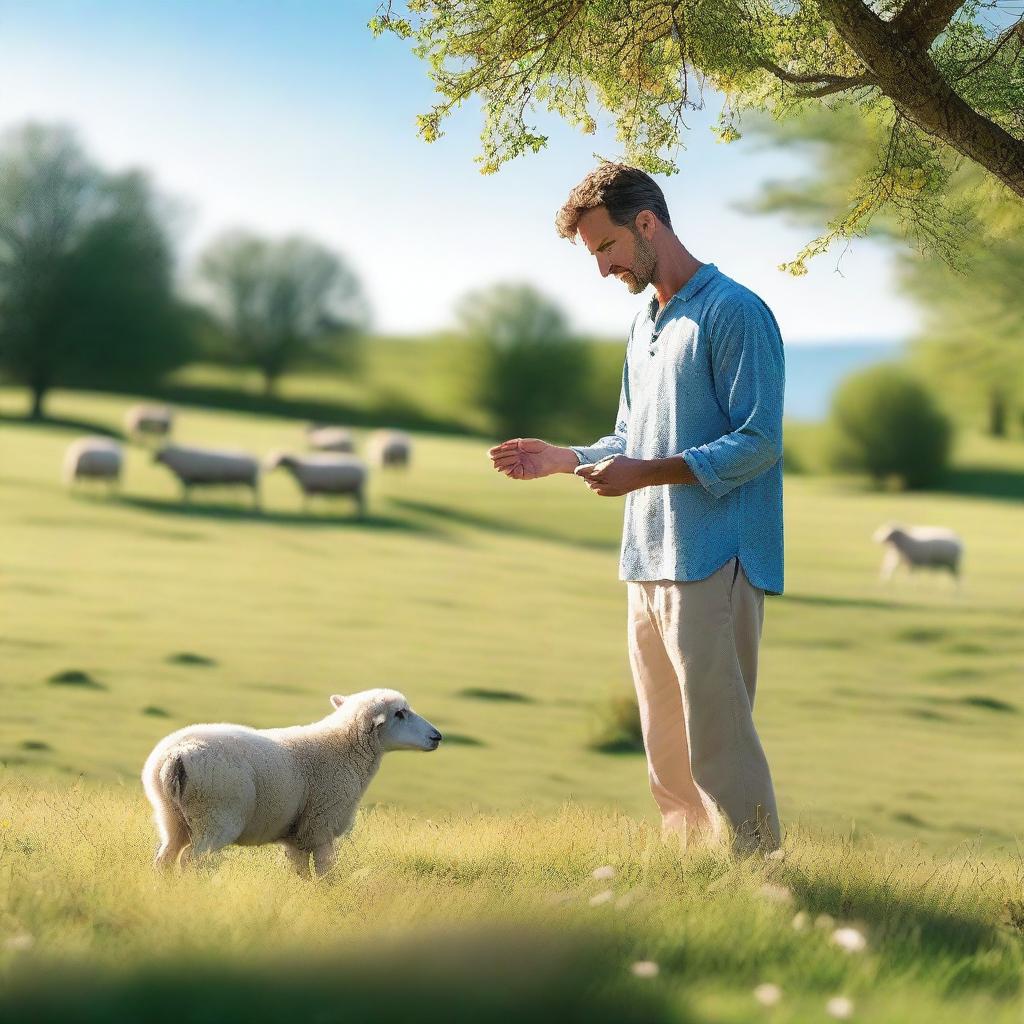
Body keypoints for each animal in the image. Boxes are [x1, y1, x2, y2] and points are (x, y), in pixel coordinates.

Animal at [140, 688, 440, 872]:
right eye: (399, 713)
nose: (437, 736)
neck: (344, 749)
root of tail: (177, 755)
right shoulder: (321, 827)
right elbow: (326, 875)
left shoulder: (297, 836)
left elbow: (300, 873)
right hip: (215, 815)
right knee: (193, 860)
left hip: (172, 816)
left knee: (165, 859)